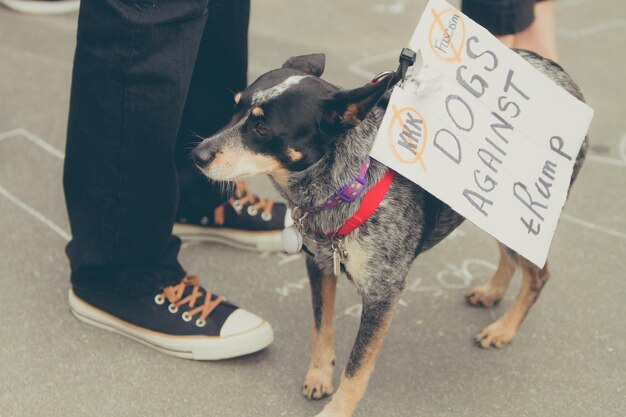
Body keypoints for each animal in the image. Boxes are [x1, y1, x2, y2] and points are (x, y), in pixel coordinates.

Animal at [189, 52, 584, 416]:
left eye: (262, 129)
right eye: (235, 108)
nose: (196, 153)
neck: (347, 181)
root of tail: (558, 70)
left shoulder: (382, 294)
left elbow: (356, 368)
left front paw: (336, 410)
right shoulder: (319, 266)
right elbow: (321, 327)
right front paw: (319, 375)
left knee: (538, 275)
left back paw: (503, 329)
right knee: (509, 259)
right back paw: (492, 292)